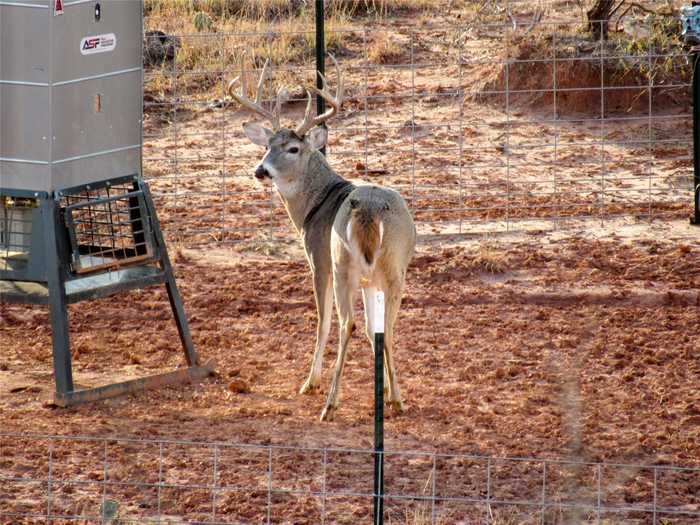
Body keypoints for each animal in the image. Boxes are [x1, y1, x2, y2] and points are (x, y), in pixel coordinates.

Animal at [230, 54, 416, 422]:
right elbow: (375, 331)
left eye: (292, 148)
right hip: (393, 267)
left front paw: (310, 382)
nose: (260, 170)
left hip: (342, 263)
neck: (315, 205)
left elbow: (323, 322)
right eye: (268, 145)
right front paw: (386, 390)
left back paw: (329, 403)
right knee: (387, 327)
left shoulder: (318, 260)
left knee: (346, 324)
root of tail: (369, 209)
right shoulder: (369, 280)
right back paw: (398, 399)